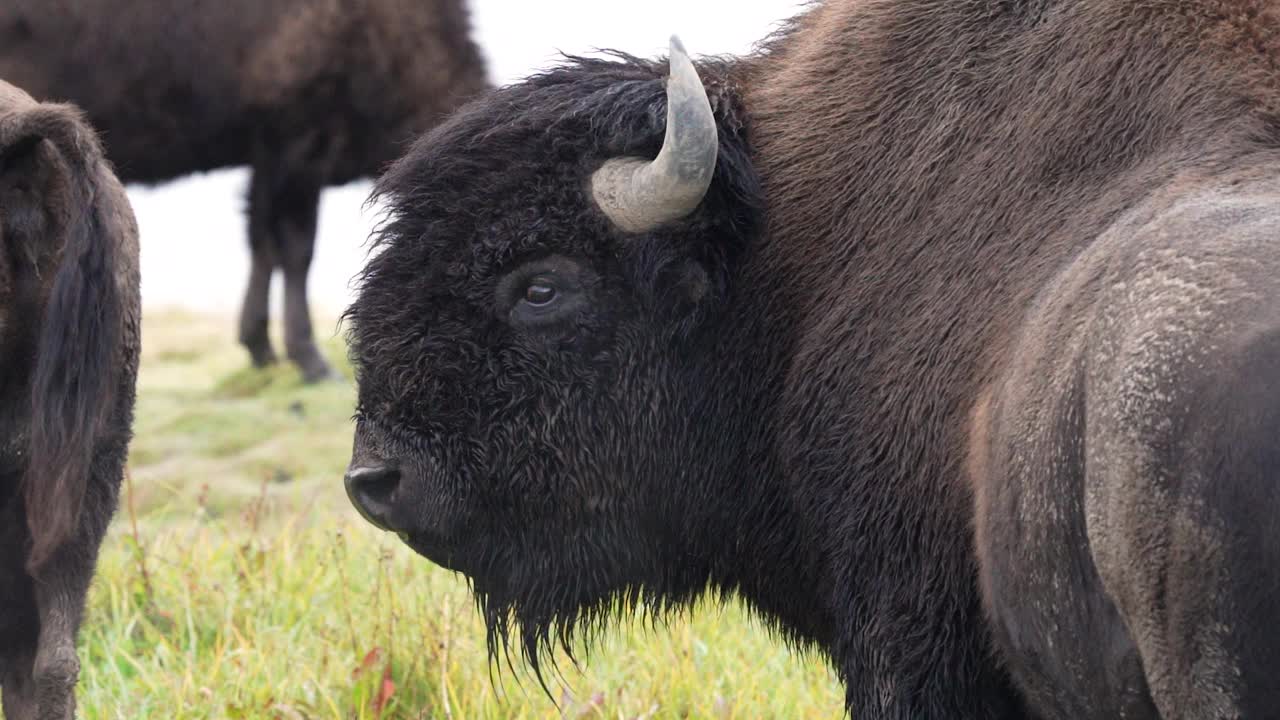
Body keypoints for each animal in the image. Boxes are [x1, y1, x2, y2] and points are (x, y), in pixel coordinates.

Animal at [1, 0, 488, 381]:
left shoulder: (268, 160)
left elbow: (263, 247)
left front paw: (260, 349)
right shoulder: (296, 148)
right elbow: (296, 251)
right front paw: (311, 361)